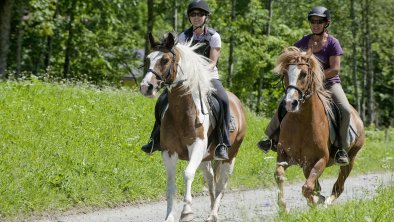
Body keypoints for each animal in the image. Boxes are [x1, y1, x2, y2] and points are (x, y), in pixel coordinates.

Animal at [140, 33, 246, 222]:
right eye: (148, 59)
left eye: (165, 60)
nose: (146, 87)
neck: (182, 112)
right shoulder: (169, 152)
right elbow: (170, 184)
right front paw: (169, 216)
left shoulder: (197, 147)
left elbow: (188, 174)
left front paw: (187, 212)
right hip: (205, 159)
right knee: (211, 179)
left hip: (229, 157)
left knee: (221, 184)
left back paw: (213, 214)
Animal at [272, 46, 364, 210]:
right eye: (285, 73)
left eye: (303, 73)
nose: (290, 103)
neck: (301, 123)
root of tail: (357, 117)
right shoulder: (285, 156)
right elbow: (279, 175)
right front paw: (283, 207)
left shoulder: (321, 160)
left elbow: (307, 188)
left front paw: (315, 204)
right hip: (306, 165)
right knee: (317, 185)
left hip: (350, 159)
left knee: (338, 187)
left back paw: (327, 202)